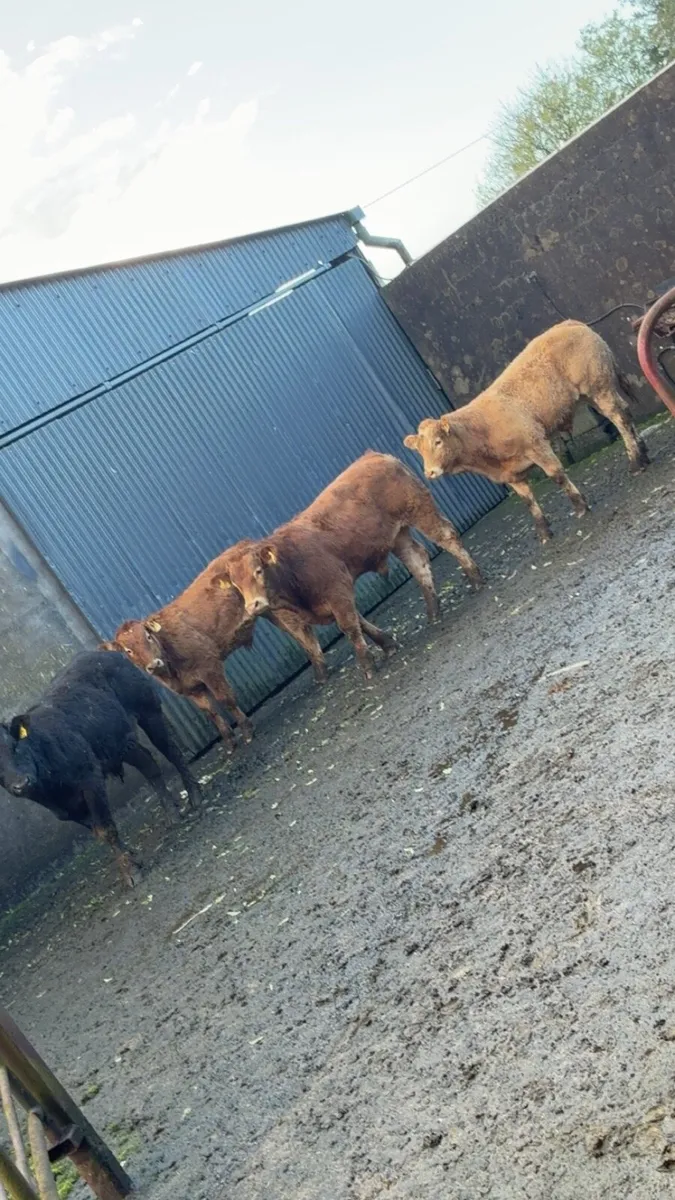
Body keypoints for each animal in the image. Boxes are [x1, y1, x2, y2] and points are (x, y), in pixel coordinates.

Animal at [0, 651, 203, 888]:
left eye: (15, 746)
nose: (21, 783)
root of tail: (104, 652)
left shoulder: (90, 781)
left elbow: (106, 829)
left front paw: (131, 872)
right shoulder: (66, 811)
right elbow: (99, 832)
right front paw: (130, 857)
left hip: (149, 711)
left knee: (172, 752)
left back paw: (195, 796)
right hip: (120, 741)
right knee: (149, 764)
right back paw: (172, 814)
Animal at [105, 550, 256, 753]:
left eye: (148, 636)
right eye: (128, 650)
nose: (154, 664)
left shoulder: (209, 666)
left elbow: (226, 699)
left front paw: (247, 731)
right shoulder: (190, 688)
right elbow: (210, 712)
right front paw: (230, 742)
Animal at [217, 452, 483, 680]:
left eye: (258, 571)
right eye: (236, 587)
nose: (253, 606)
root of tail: (375, 456)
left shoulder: (337, 589)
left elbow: (350, 627)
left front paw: (368, 667)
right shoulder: (336, 595)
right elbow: (359, 621)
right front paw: (388, 644)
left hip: (421, 511)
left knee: (447, 537)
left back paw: (475, 579)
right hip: (398, 536)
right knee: (417, 562)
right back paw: (433, 613)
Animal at [403, 320, 649, 543]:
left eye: (438, 441)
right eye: (419, 451)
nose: (429, 472)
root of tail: (570, 324)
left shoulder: (536, 443)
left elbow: (556, 475)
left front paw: (580, 506)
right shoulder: (510, 474)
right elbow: (528, 501)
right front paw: (544, 534)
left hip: (598, 387)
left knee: (620, 420)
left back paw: (635, 463)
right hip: (591, 394)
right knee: (625, 412)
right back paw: (644, 454)